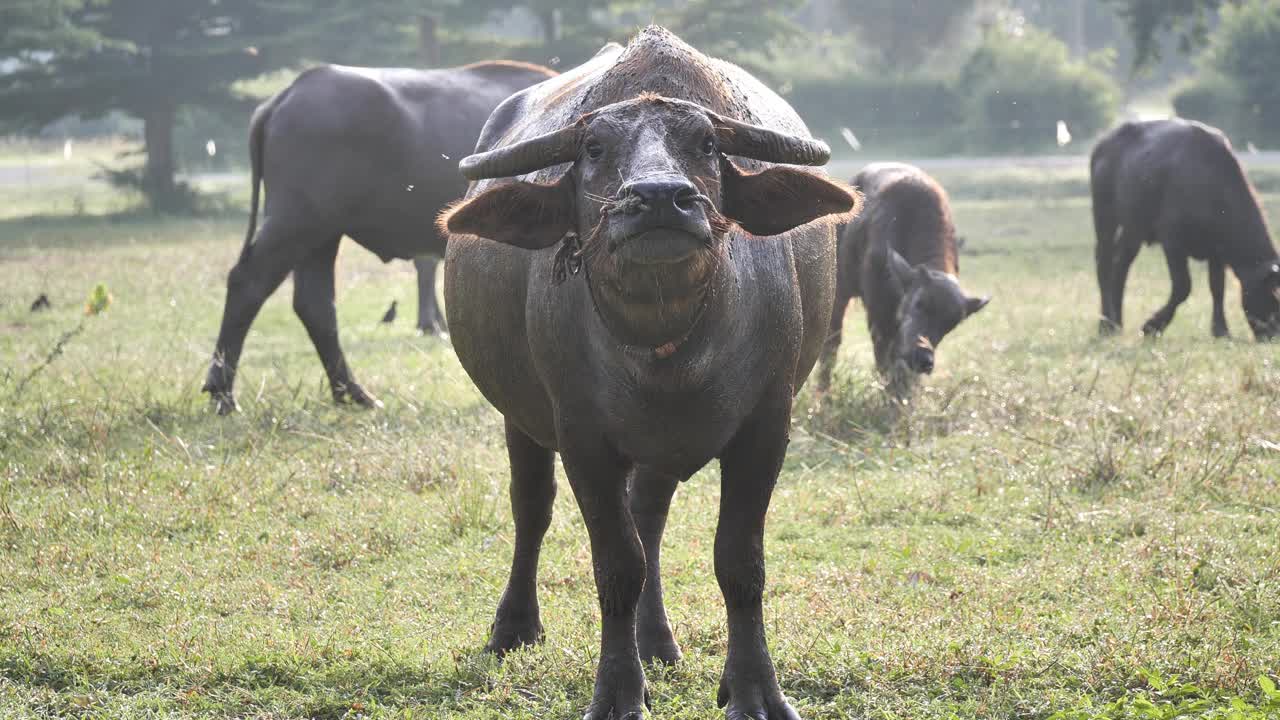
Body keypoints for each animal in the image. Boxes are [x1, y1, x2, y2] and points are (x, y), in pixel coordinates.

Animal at [202, 60, 552, 415]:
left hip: (321, 235)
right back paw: (223, 394)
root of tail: (287, 95)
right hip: (298, 221)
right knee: (249, 282)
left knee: (315, 303)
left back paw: (352, 393)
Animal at [437, 26, 860, 717]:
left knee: (650, 515)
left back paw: (656, 640)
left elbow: (739, 562)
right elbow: (616, 565)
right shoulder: (582, 437)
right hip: (520, 418)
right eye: (594, 148)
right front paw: (616, 690)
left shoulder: (766, 427)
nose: (660, 198)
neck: (668, 345)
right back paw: (514, 629)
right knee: (532, 508)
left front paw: (753, 688)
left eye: (707, 144)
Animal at [819, 162, 988, 394]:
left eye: (952, 323)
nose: (924, 360)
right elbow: (884, 362)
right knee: (831, 343)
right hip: (840, 291)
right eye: (919, 304)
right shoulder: (879, 317)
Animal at [1090, 118, 1280, 338]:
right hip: (1105, 217)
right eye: (1274, 296)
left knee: (1120, 266)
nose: (1273, 336)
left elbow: (1217, 287)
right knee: (1104, 265)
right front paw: (1152, 326)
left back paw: (1117, 323)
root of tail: (1104, 143)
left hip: (1133, 228)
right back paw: (1105, 326)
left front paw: (1221, 330)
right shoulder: (1172, 242)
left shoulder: (1217, 251)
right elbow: (1183, 287)